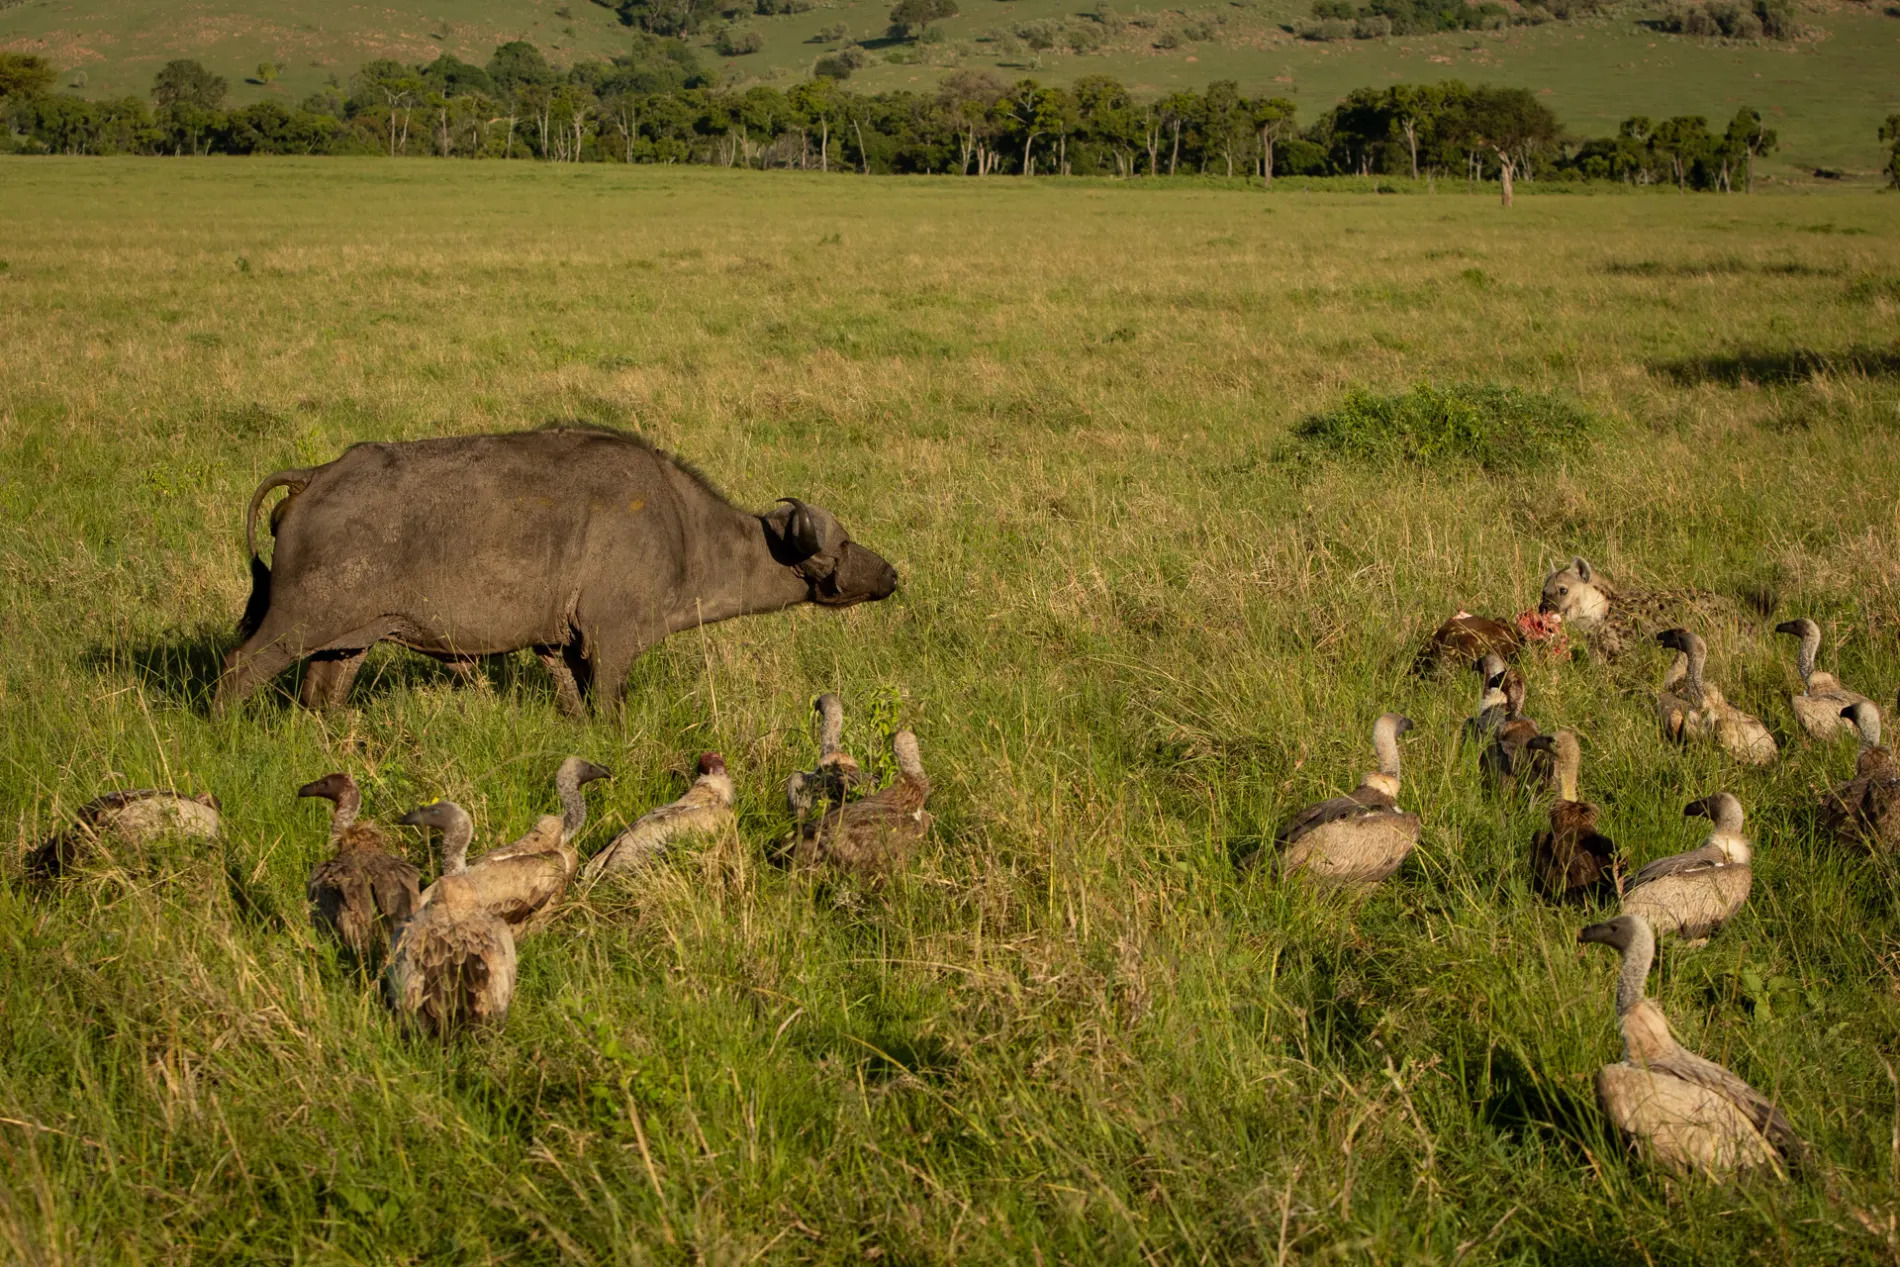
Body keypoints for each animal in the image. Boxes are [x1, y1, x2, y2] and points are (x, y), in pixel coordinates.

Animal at [218, 425, 900, 714]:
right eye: (842, 544)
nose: (891, 574)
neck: (683, 529)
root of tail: (315, 476)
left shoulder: (558, 646)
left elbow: (574, 705)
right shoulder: (611, 642)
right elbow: (609, 708)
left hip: (347, 641)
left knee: (321, 695)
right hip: (294, 626)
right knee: (236, 670)